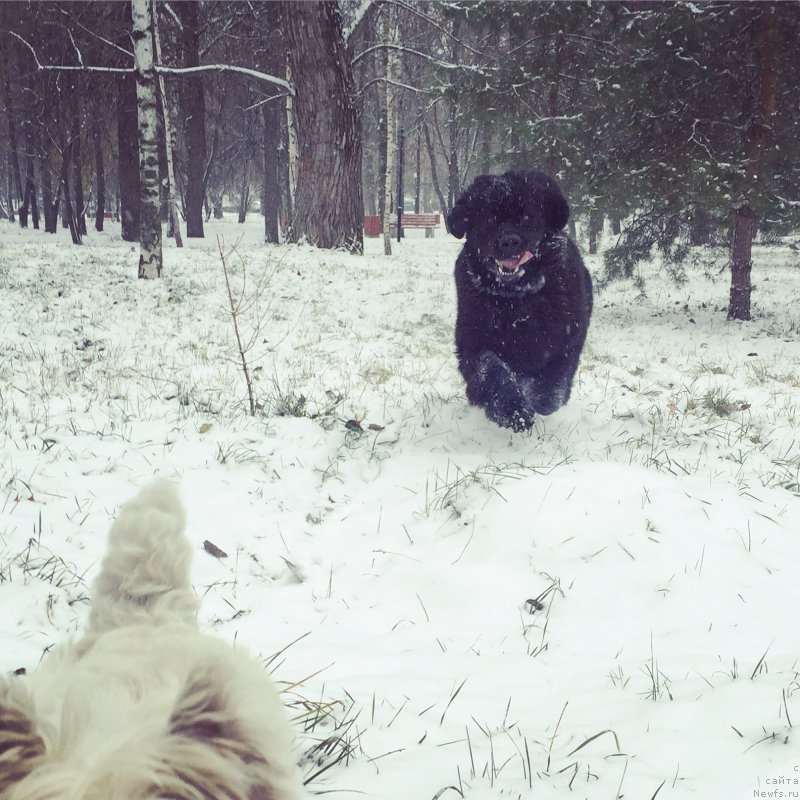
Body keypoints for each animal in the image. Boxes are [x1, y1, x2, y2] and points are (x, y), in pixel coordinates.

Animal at [450, 170, 592, 432]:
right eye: (489, 219)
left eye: (527, 216)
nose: (509, 241)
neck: (516, 300)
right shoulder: (473, 340)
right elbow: (492, 370)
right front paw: (512, 411)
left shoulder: (566, 338)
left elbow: (554, 380)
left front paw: (541, 401)